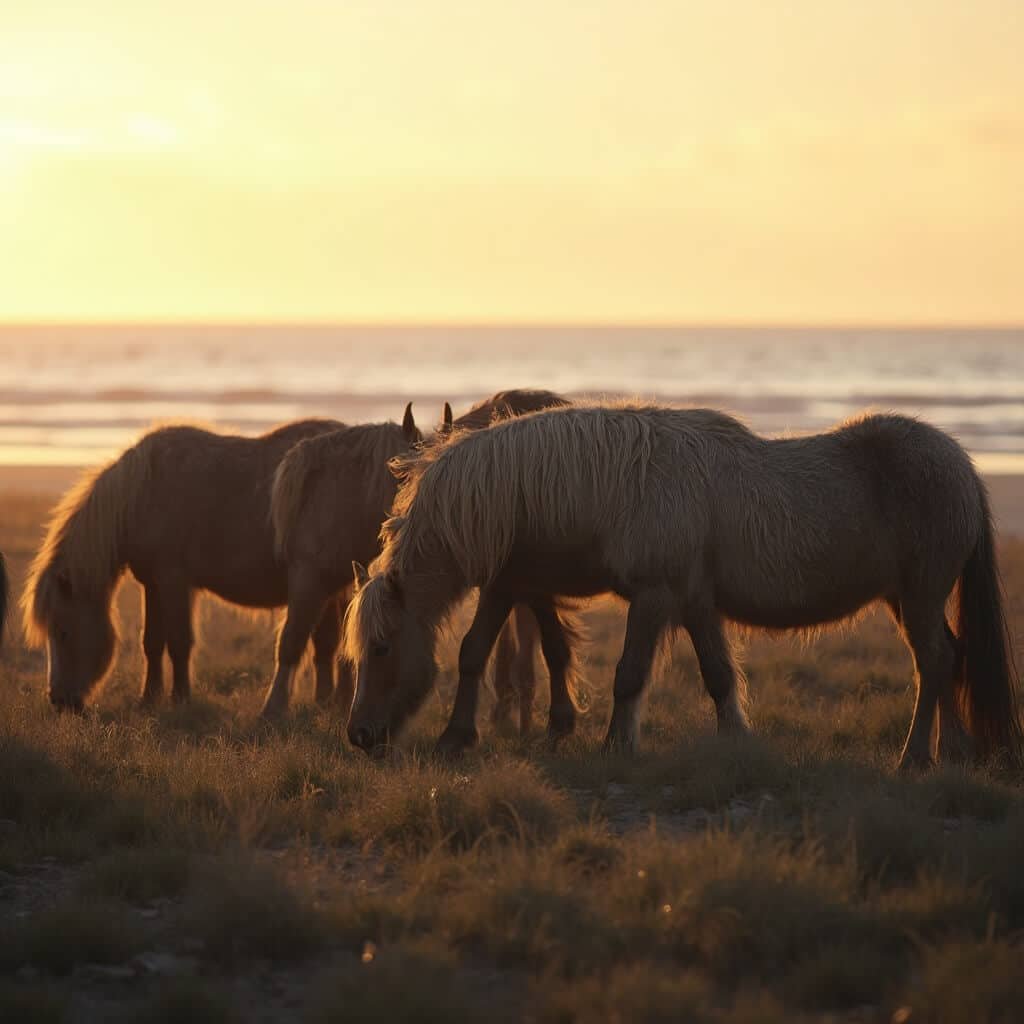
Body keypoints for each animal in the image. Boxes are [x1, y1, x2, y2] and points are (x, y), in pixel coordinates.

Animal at [21, 410, 419, 710]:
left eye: (62, 630)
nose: (58, 699)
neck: (140, 493)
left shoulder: (175, 580)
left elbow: (179, 641)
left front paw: (180, 700)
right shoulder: (153, 583)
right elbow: (153, 641)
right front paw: (149, 699)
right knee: (327, 643)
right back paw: (328, 701)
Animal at [344, 403, 1021, 770]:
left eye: (381, 648)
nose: (358, 737)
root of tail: (962, 466)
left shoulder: (656, 598)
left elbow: (629, 675)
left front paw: (615, 747)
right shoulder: (684, 602)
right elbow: (718, 675)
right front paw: (456, 738)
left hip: (921, 594)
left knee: (934, 662)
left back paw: (915, 757)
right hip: (907, 600)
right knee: (947, 659)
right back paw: (952, 751)